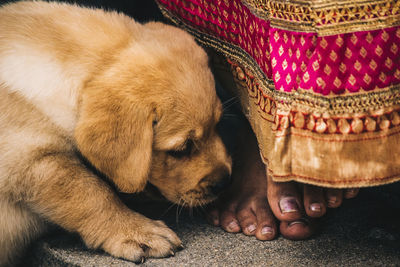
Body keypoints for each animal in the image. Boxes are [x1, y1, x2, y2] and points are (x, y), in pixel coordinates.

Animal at [0, 1, 231, 266]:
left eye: (218, 124)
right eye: (182, 149)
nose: (225, 182)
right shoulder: (28, 158)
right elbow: (91, 192)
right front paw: (137, 232)